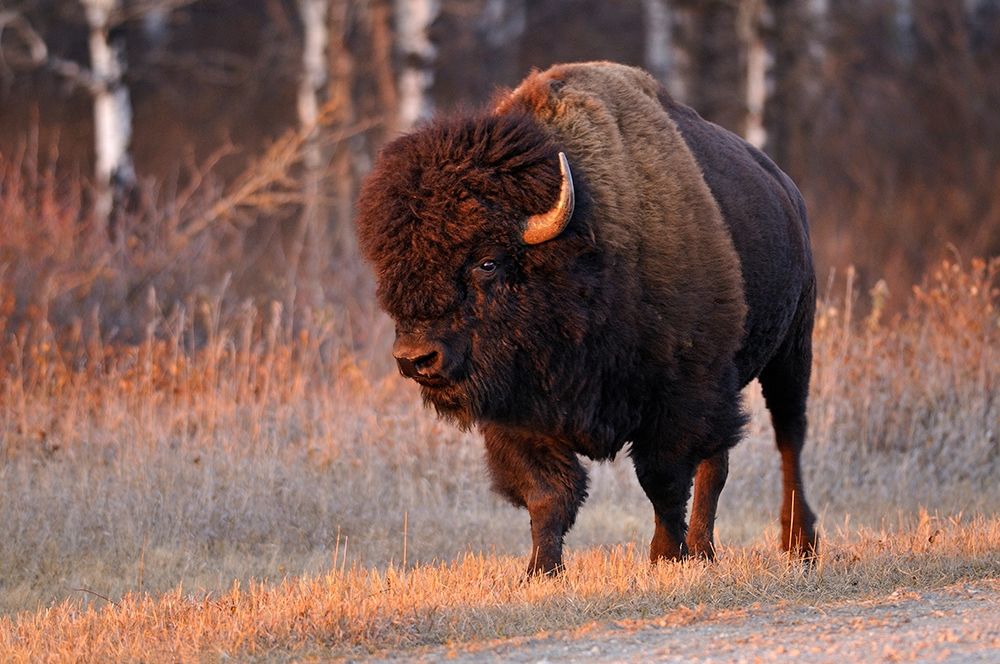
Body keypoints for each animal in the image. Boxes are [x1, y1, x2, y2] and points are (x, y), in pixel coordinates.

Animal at [356, 62, 818, 575]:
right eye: (393, 268)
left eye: (487, 262)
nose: (415, 358)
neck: (588, 254)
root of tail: (789, 193)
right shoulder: (520, 414)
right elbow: (548, 493)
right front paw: (540, 570)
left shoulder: (681, 394)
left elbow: (662, 481)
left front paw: (664, 557)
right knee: (718, 464)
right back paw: (705, 550)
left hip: (791, 354)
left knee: (788, 440)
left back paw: (799, 544)